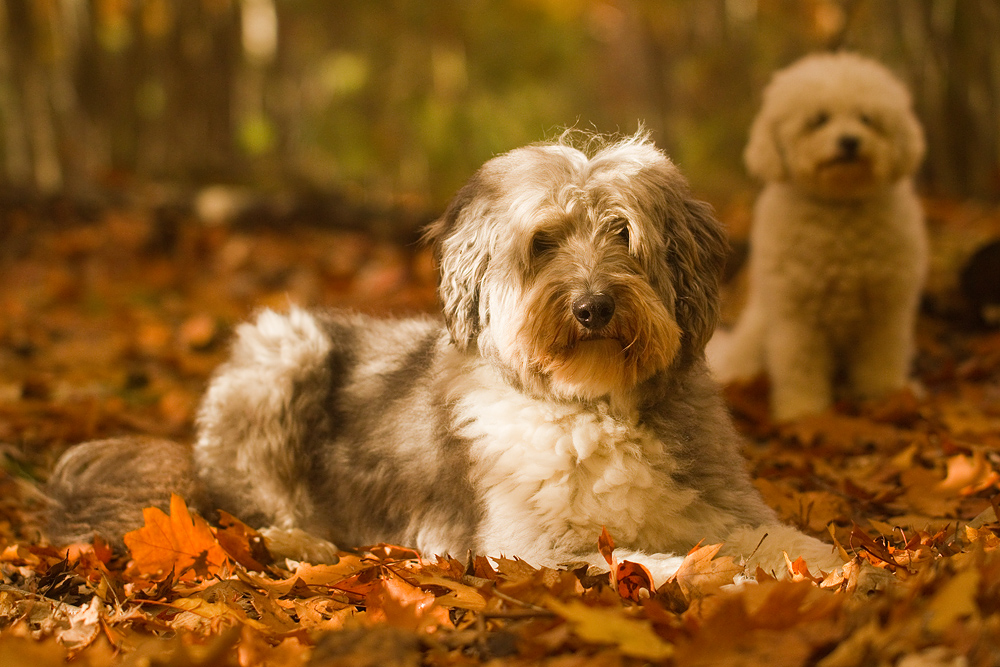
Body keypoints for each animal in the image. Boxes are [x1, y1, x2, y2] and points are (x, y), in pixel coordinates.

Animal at [48, 132, 844, 584]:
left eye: (623, 232)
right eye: (544, 242)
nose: (592, 307)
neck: (591, 404)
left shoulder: (718, 500)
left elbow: (778, 536)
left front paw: (835, 566)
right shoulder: (527, 546)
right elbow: (644, 560)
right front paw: (718, 576)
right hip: (281, 350)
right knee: (242, 506)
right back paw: (300, 537)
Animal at [712, 52, 928, 420]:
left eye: (867, 119)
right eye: (818, 120)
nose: (850, 141)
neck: (839, 208)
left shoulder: (885, 310)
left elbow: (881, 359)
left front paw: (885, 397)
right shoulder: (797, 312)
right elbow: (800, 363)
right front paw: (802, 411)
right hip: (756, 336)